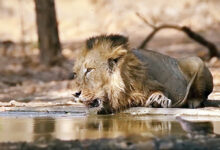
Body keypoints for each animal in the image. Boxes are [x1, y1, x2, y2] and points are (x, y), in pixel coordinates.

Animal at [72, 34, 213, 113]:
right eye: (75, 74)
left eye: (89, 70)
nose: (75, 94)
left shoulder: (153, 82)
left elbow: (159, 91)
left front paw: (157, 99)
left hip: (196, 61)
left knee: (203, 96)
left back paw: (192, 102)